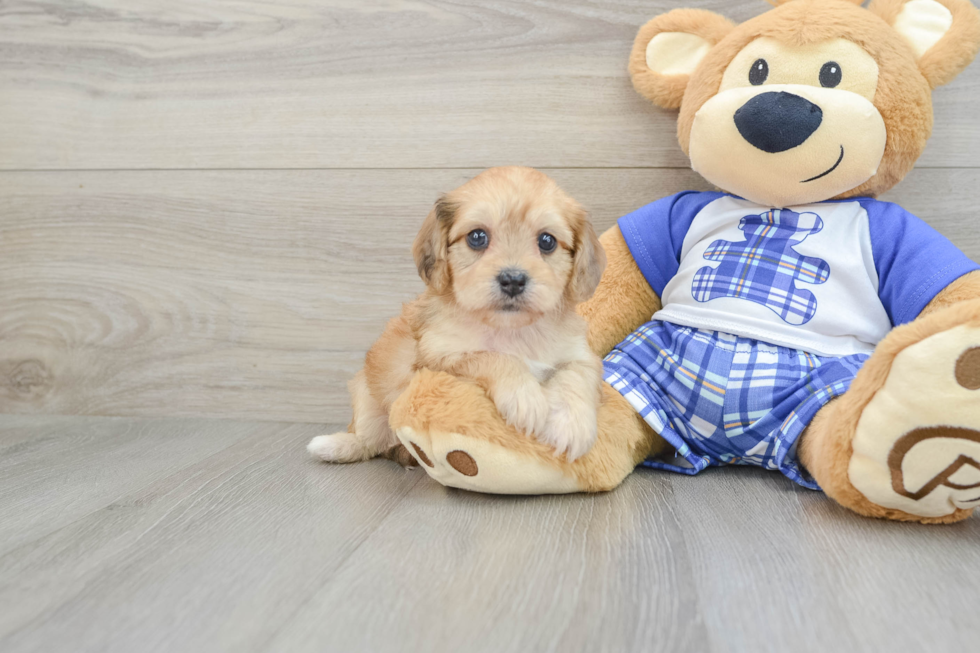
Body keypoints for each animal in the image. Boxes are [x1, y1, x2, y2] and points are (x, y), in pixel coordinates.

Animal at [310, 168, 608, 464]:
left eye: (546, 241)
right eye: (477, 237)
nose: (513, 280)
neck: (511, 330)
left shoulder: (580, 355)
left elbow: (577, 377)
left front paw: (572, 426)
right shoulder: (437, 360)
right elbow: (493, 357)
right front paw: (524, 397)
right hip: (367, 398)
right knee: (369, 442)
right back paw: (333, 445)